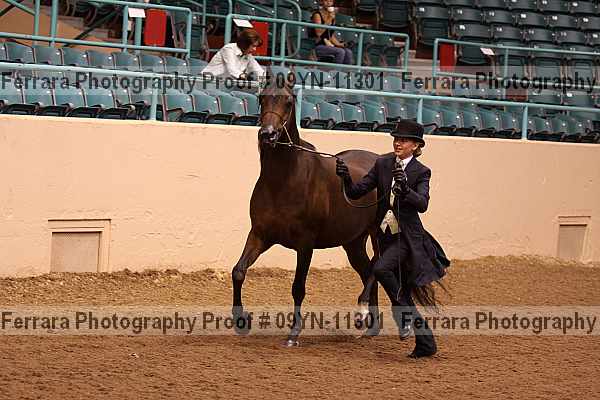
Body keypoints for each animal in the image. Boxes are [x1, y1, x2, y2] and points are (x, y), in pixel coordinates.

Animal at [231, 74, 382, 346]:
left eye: (289, 102)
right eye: (261, 98)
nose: (268, 135)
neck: (283, 181)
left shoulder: (305, 243)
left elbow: (298, 287)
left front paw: (293, 333)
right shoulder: (260, 235)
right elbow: (238, 272)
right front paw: (241, 322)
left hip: (379, 232)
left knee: (376, 268)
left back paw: (363, 312)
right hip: (353, 242)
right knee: (367, 271)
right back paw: (370, 327)